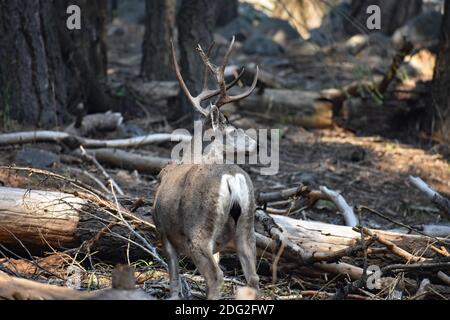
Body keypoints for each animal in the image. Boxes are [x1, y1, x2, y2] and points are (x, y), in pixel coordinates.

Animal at [154, 38, 260, 300]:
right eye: (233, 130)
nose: (257, 144)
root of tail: (232, 178)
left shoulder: (162, 230)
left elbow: (173, 279)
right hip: (247, 226)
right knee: (253, 277)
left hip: (198, 230)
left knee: (215, 277)